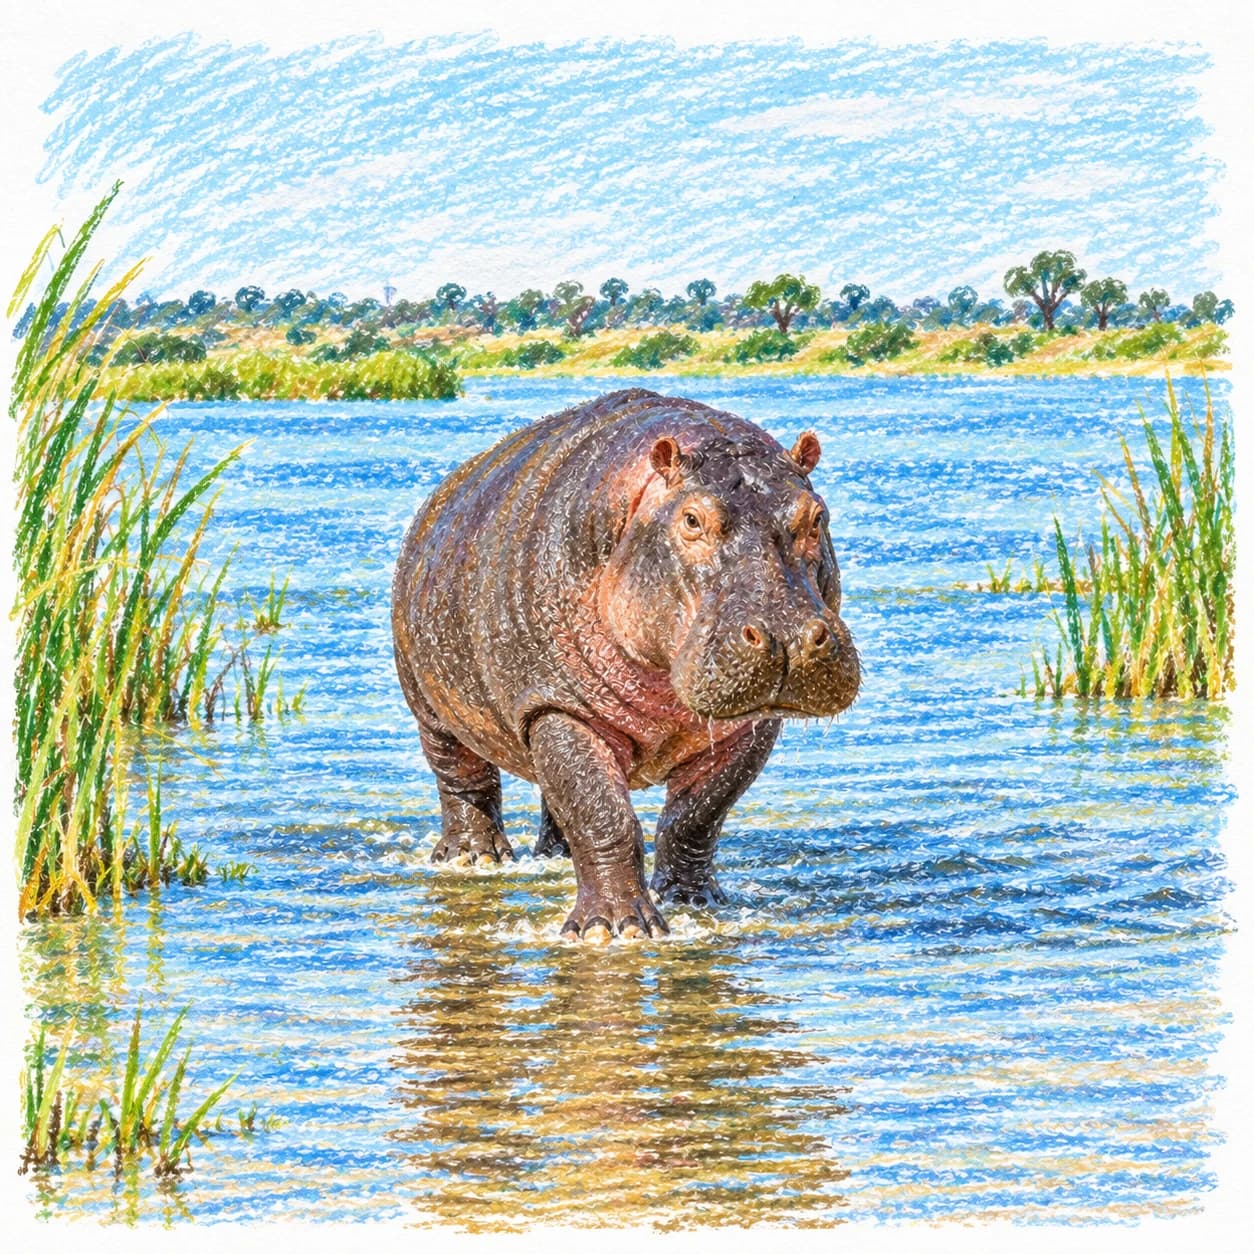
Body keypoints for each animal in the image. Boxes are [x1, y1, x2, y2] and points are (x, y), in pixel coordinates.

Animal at [392, 388, 860, 943]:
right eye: (692, 519)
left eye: (816, 515)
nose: (787, 638)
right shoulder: (556, 706)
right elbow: (603, 815)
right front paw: (616, 930)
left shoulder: (749, 723)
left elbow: (695, 815)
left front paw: (694, 900)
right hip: (430, 703)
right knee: (462, 777)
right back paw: (473, 858)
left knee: (554, 794)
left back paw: (553, 857)